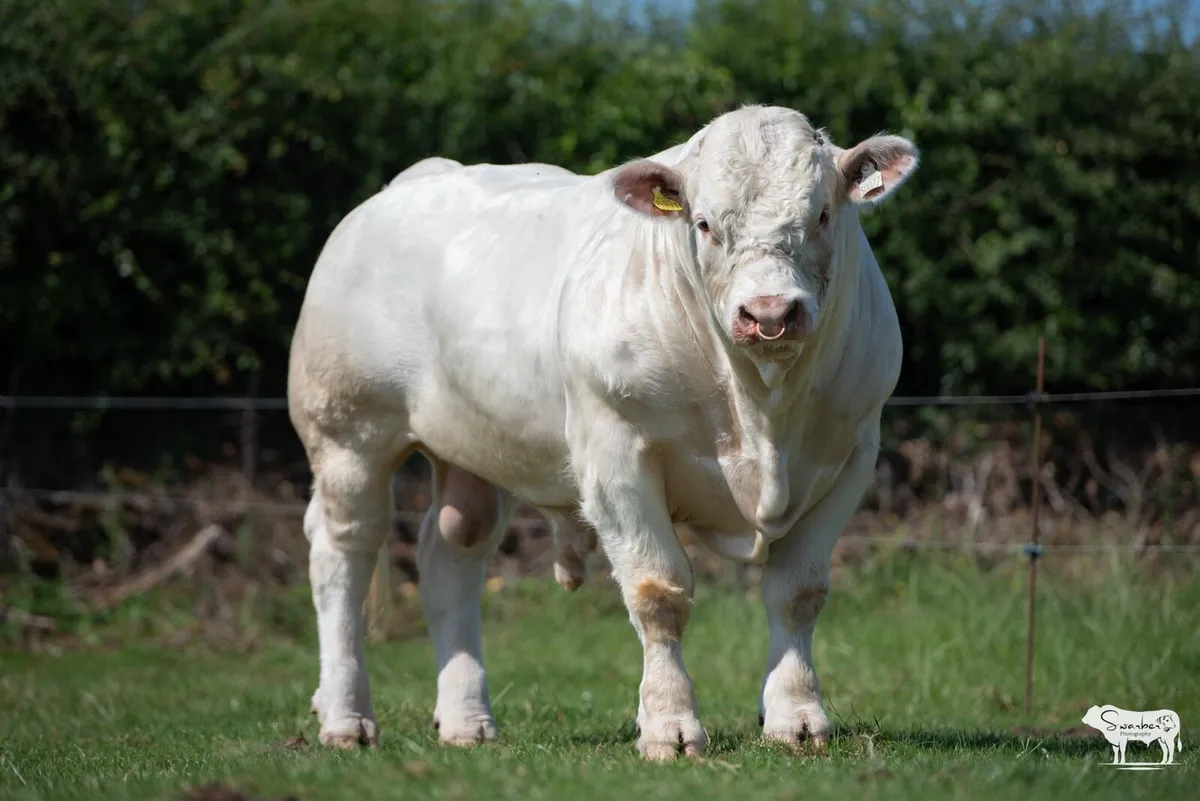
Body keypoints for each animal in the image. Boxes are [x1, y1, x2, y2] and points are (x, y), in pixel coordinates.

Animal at [286, 104, 918, 760]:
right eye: (704, 223)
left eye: (823, 214)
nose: (769, 313)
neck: (760, 410)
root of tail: (409, 184)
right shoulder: (616, 455)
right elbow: (658, 591)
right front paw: (669, 725)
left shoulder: (850, 454)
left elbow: (798, 592)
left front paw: (796, 718)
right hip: (347, 434)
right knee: (342, 557)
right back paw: (345, 716)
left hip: (474, 449)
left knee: (450, 555)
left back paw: (466, 721)